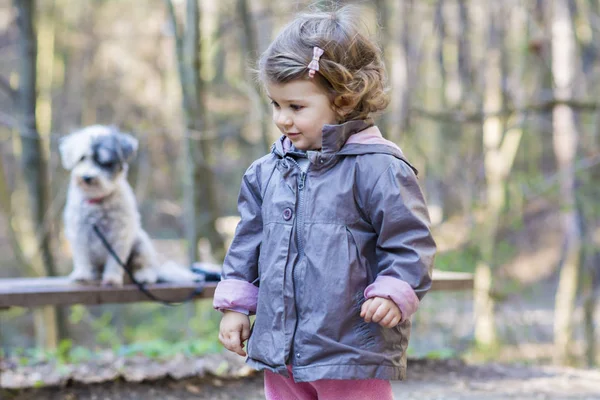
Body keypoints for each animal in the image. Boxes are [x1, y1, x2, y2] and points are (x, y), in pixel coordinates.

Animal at [60, 125, 198, 284]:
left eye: (105, 162)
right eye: (82, 158)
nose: (87, 177)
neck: (98, 201)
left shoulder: (120, 235)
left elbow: (114, 262)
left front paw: (112, 278)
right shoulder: (79, 233)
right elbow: (82, 257)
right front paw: (83, 274)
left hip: (141, 243)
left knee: (144, 266)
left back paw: (144, 275)